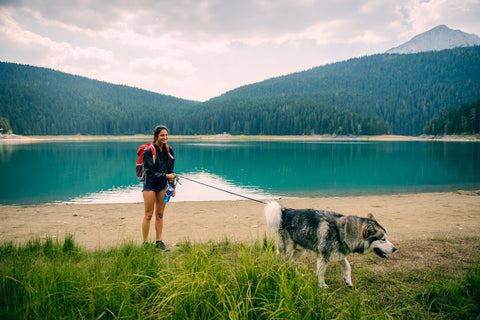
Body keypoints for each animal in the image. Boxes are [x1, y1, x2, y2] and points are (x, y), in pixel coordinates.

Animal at [264, 202, 396, 288]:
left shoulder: (340, 255)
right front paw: (322, 285)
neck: (343, 232)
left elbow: (348, 266)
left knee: (291, 262)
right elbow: (321, 273)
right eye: (383, 239)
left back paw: (298, 274)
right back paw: (276, 268)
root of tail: (285, 211)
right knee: (278, 257)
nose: (395, 249)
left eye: (386, 237)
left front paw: (348, 280)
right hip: (286, 248)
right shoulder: (324, 258)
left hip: (300, 249)